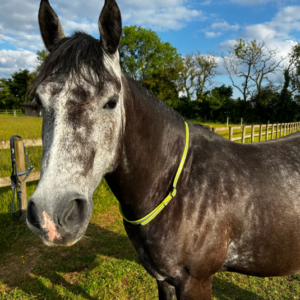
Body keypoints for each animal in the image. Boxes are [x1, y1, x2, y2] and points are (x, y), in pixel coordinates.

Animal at [26, 0, 300, 300]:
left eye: (111, 102)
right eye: (38, 102)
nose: (51, 216)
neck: (179, 185)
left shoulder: (196, 282)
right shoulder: (164, 279)